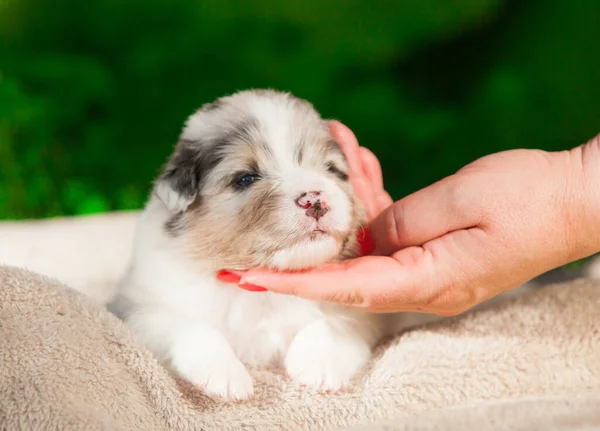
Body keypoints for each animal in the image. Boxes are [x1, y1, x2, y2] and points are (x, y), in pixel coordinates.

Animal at [108, 89, 386, 404]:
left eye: (332, 170)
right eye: (246, 178)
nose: (315, 199)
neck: (260, 296)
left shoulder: (363, 314)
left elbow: (332, 322)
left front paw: (319, 363)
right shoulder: (137, 308)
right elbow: (185, 324)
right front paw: (224, 375)